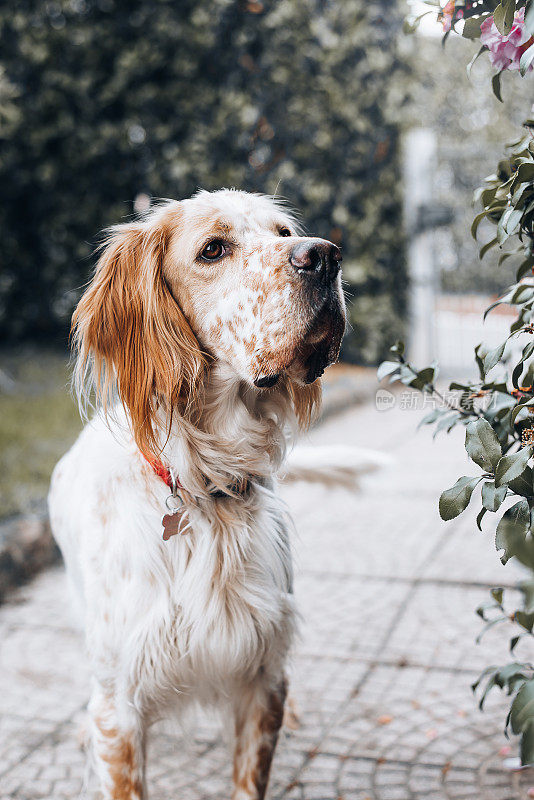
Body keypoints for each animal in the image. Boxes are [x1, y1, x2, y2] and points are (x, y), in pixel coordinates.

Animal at [49, 191, 348, 796]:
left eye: (283, 233)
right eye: (213, 249)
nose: (325, 256)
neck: (209, 488)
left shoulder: (263, 682)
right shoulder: (118, 712)